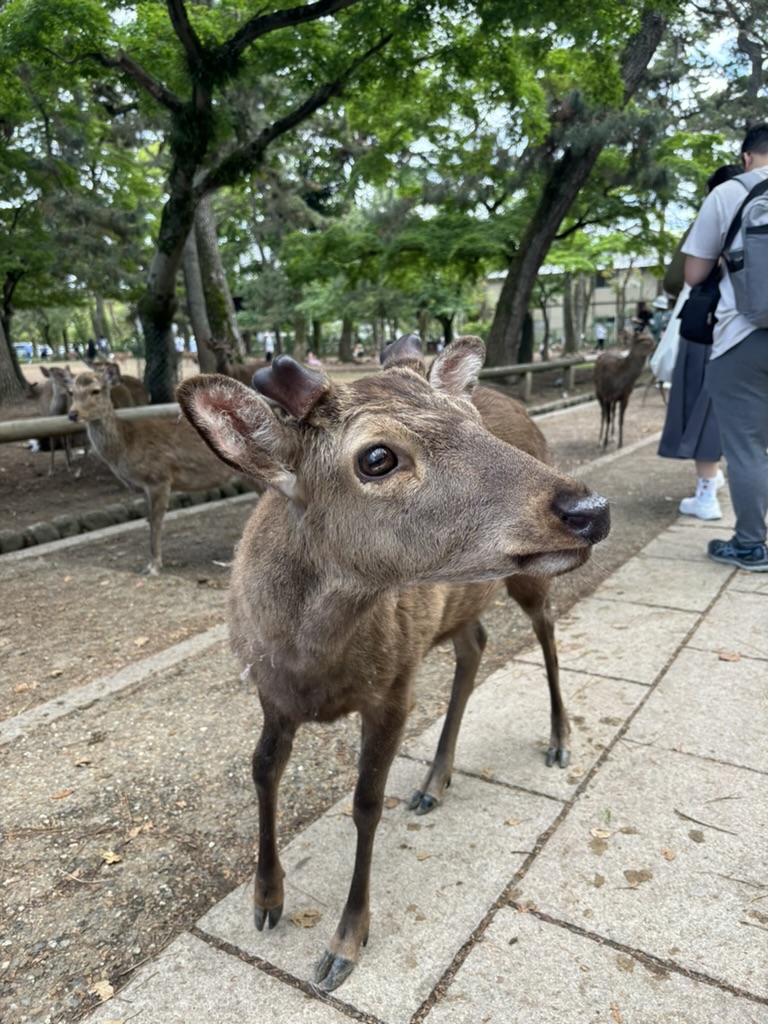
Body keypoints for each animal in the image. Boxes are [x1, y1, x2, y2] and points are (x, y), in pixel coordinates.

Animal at [71, 370, 243, 577]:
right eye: (71, 391)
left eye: (95, 390)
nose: (72, 414)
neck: (125, 447)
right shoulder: (144, 487)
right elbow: (148, 519)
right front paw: (150, 563)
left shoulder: (159, 477)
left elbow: (156, 521)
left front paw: (154, 566)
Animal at [176, 335, 614, 991]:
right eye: (377, 457)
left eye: (473, 423)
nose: (591, 508)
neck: (312, 663)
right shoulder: (269, 693)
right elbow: (261, 770)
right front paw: (266, 899)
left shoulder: (394, 688)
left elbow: (365, 803)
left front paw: (344, 943)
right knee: (475, 644)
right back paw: (435, 781)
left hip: (527, 582)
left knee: (546, 634)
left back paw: (559, 740)